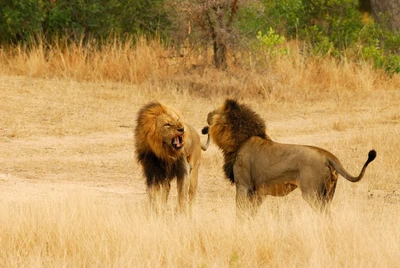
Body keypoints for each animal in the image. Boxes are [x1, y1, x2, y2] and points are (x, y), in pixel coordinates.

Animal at [203, 98, 376, 216]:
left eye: (216, 111)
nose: (207, 114)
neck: (240, 139)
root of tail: (326, 155)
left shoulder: (243, 185)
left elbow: (240, 211)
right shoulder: (258, 191)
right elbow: (252, 212)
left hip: (312, 193)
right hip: (328, 193)